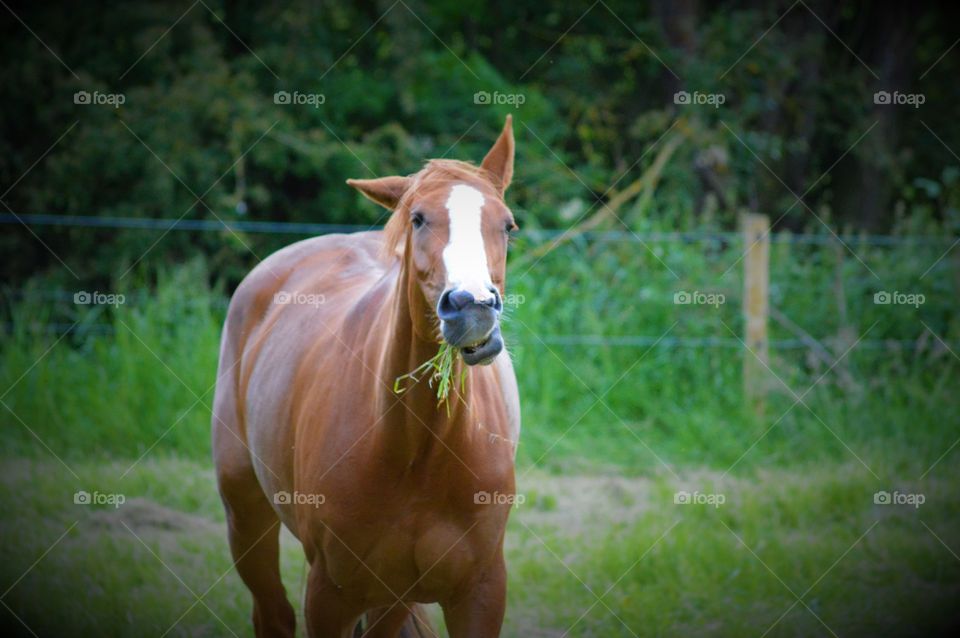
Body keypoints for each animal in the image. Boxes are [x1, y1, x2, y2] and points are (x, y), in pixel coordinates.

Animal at [213, 117, 520, 636]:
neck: (420, 452)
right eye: (418, 219)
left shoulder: (481, 592)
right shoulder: (330, 594)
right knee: (272, 613)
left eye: (508, 226)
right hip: (246, 516)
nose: (472, 308)